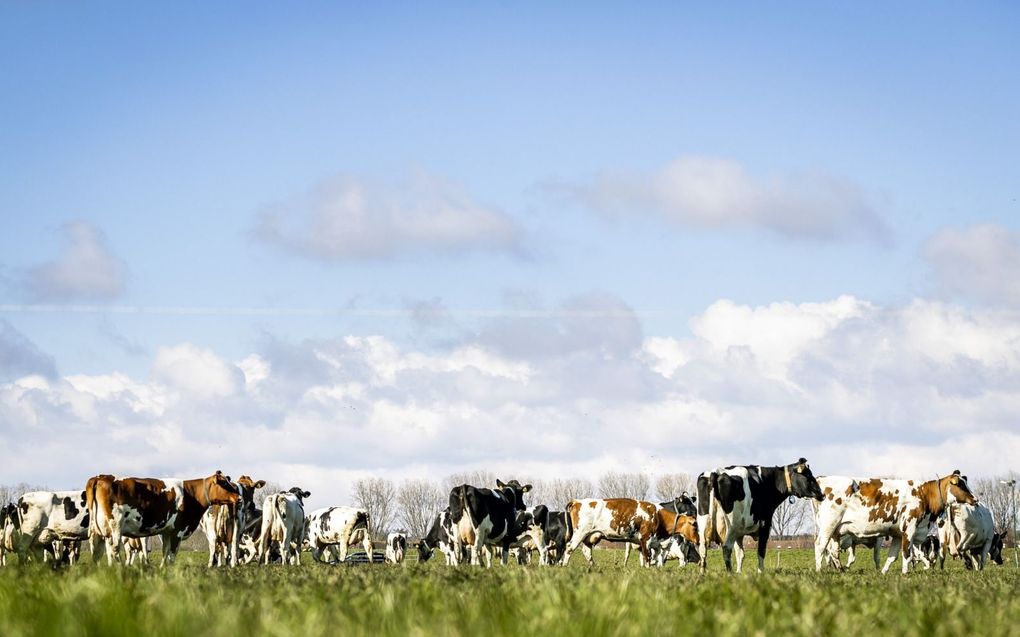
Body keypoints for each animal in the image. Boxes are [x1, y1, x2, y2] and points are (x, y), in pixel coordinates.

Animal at [85, 466, 240, 562]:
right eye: (224, 484)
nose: (239, 497)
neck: (190, 494)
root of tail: (100, 477)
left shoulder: (167, 531)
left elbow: (165, 553)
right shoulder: (177, 531)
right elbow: (172, 555)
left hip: (97, 530)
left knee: (97, 552)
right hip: (115, 528)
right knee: (114, 550)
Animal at [807, 468, 975, 574]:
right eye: (961, 485)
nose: (975, 499)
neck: (924, 494)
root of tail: (822, 479)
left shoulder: (897, 534)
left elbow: (892, 556)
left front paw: (883, 572)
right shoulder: (909, 528)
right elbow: (907, 553)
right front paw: (905, 573)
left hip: (836, 531)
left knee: (833, 552)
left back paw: (841, 570)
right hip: (829, 524)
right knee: (820, 545)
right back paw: (818, 570)